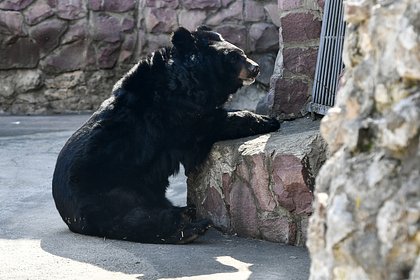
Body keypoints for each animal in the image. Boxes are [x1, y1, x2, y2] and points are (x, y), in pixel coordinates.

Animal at [53, 26, 282, 245]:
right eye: (233, 56)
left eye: (242, 52)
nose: (256, 67)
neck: (188, 80)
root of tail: (66, 214)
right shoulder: (173, 114)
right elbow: (209, 124)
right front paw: (269, 120)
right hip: (108, 189)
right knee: (132, 217)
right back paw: (189, 227)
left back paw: (186, 213)